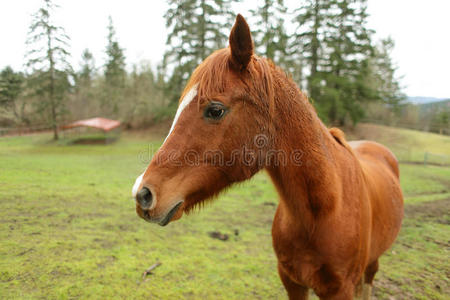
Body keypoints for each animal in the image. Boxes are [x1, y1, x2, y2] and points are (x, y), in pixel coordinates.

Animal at [133, 15, 404, 300]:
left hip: (372, 265)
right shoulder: (292, 281)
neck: (325, 209)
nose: (143, 194)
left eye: (215, 110)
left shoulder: (340, 291)